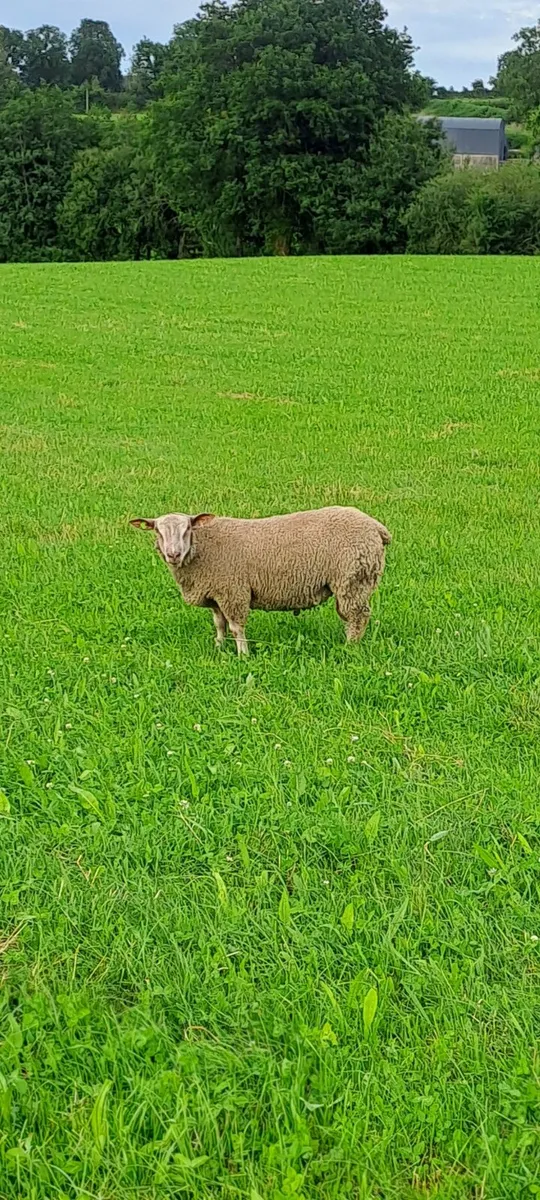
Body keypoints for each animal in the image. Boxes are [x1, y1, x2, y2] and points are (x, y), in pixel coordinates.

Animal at [130, 506, 391, 656]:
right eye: (157, 531)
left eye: (187, 529)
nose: (173, 554)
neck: (201, 548)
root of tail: (377, 527)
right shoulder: (216, 594)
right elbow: (219, 625)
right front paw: (219, 648)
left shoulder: (233, 591)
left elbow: (236, 627)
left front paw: (243, 655)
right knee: (350, 617)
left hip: (354, 579)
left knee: (357, 617)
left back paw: (350, 648)